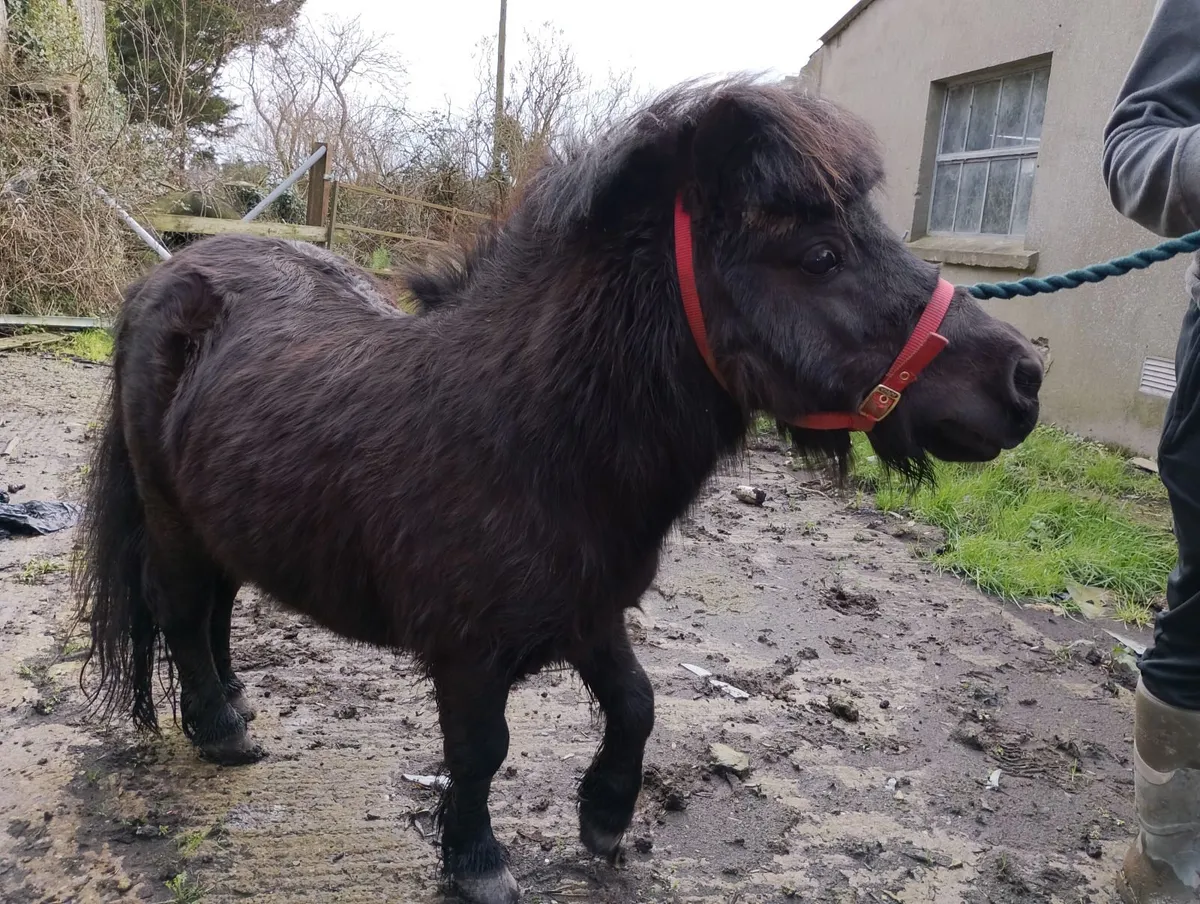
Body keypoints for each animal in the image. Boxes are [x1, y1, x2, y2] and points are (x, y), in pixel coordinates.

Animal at [73, 76, 1042, 904]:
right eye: (821, 253)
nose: (1023, 379)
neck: (533, 435)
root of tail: (167, 277)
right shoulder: (468, 652)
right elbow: (480, 751)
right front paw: (476, 862)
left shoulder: (590, 610)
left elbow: (637, 704)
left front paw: (605, 816)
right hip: (170, 518)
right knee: (182, 610)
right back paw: (219, 730)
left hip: (229, 519)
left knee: (218, 606)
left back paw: (235, 700)